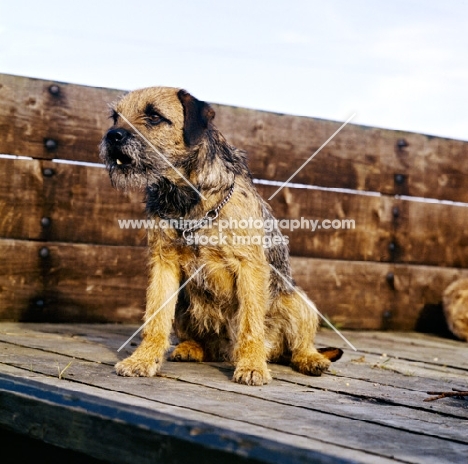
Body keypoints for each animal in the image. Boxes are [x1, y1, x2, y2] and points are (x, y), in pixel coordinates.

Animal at [99, 87, 340, 384]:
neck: (186, 198)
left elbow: (250, 323)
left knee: (297, 345)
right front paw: (142, 360)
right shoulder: (163, 263)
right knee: (203, 342)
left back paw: (309, 359)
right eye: (115, 117)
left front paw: (252, 366)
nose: (113, 136)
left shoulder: (249, 267)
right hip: (184, 302)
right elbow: (155, 318)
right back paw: (190, 348)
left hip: (297, 300)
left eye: (154, 116)